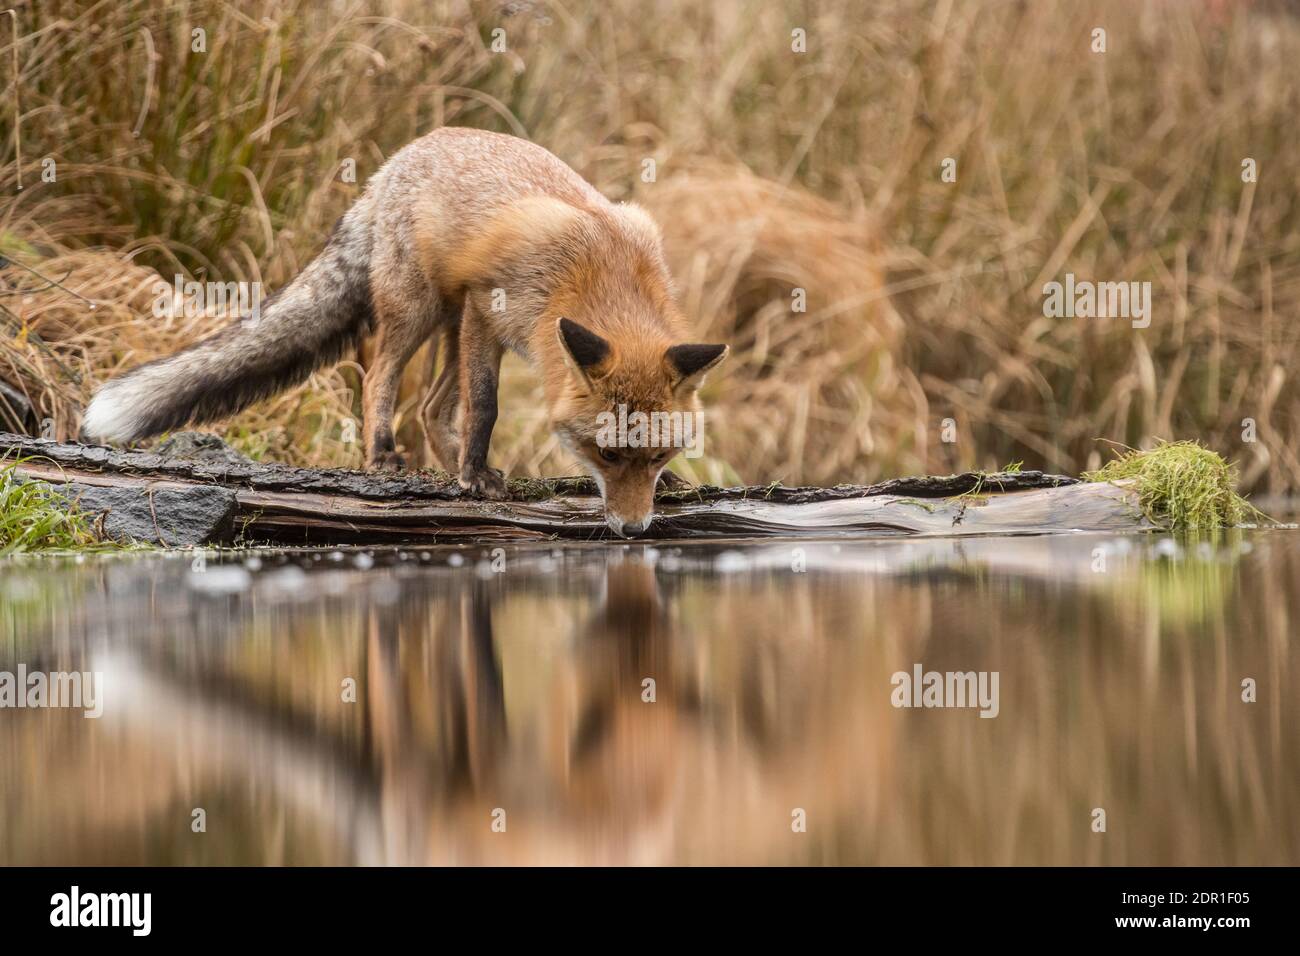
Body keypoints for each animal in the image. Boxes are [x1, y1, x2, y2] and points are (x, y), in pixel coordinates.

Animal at [83, 128, 733, 538]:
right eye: (604, 453)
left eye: (656, 454)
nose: (632, 529)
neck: (601, 271)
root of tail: (390, 166)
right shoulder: (488, 310)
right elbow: (486, 406)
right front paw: (474, 476)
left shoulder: (485, 322)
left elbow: (467, 409)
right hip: (419, 312)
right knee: (382, 383)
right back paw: (385, 457)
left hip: (447, 320)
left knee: (431, 407)